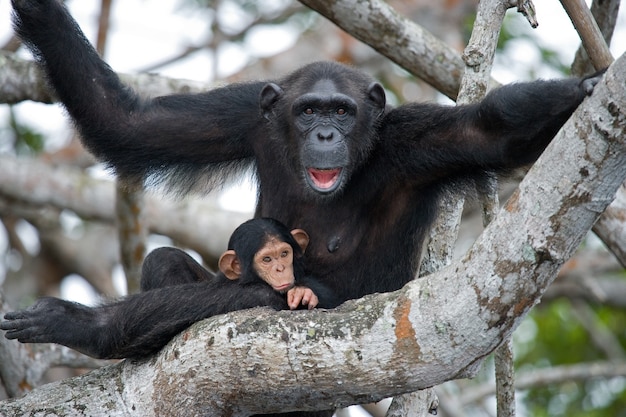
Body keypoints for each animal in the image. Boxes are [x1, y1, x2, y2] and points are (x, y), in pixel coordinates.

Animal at [1, 218, 336, 358]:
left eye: (285, 253)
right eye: (267, 258)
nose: (280, 268)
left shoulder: (259, 293)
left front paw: (69, 322)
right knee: (162, 258)